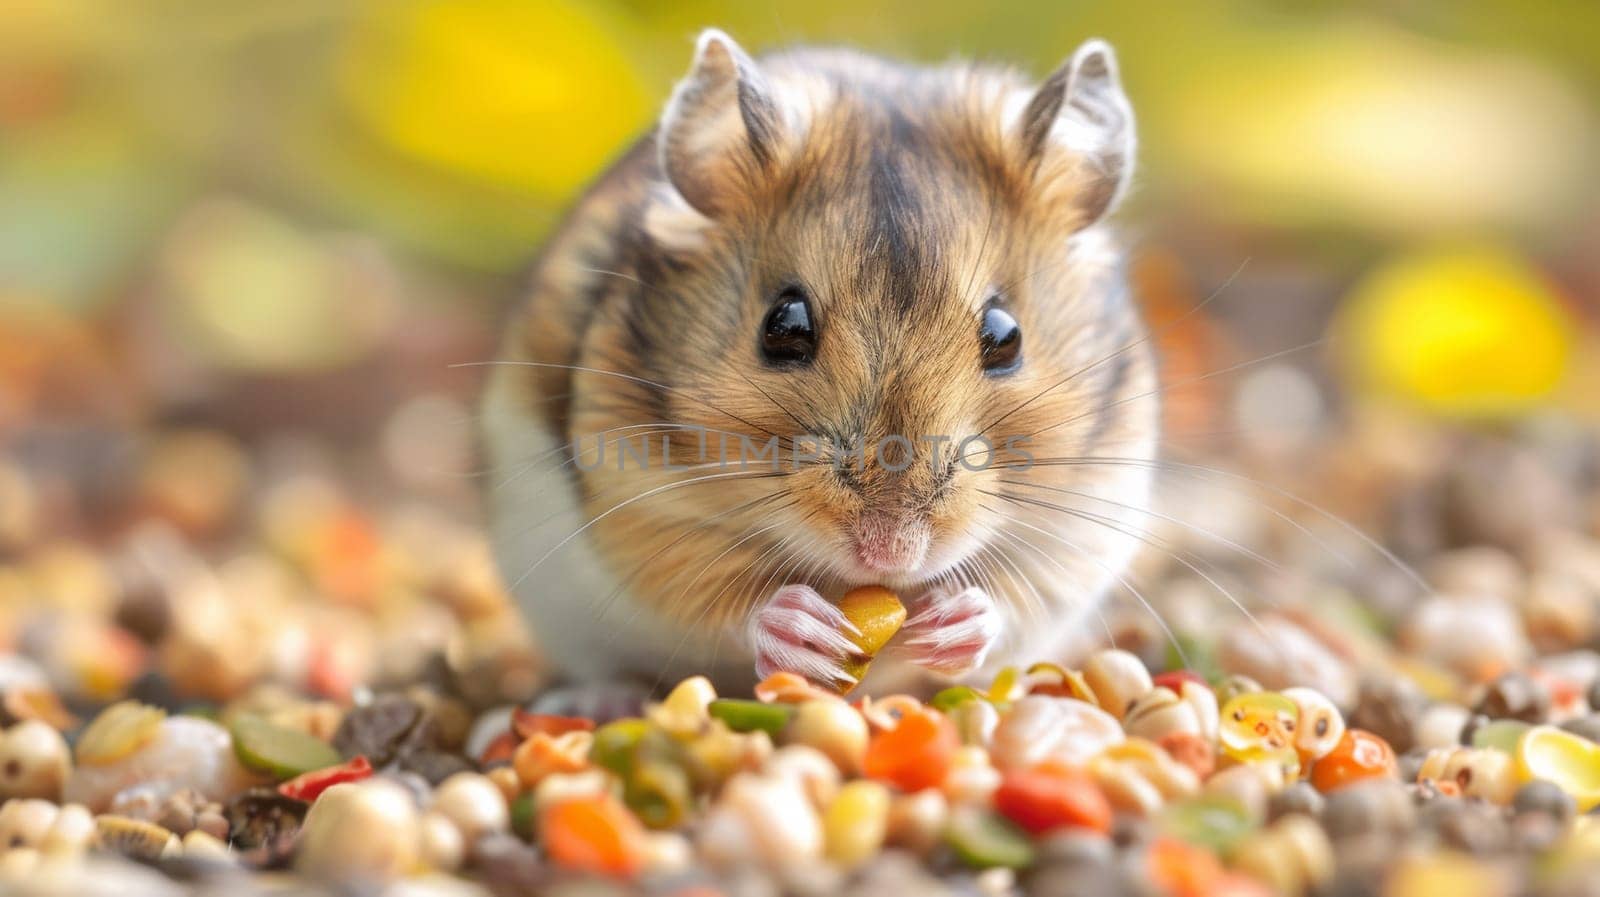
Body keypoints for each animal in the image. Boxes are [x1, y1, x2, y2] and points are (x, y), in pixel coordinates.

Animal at [480, 27, 1158, 693]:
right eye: (784, 325)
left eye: (1007, 335)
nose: (890, 554)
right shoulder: (641, 504)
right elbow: (713, 594)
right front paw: (804, 629)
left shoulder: (1086, 523)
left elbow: (1020, 595)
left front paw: (955, 623)